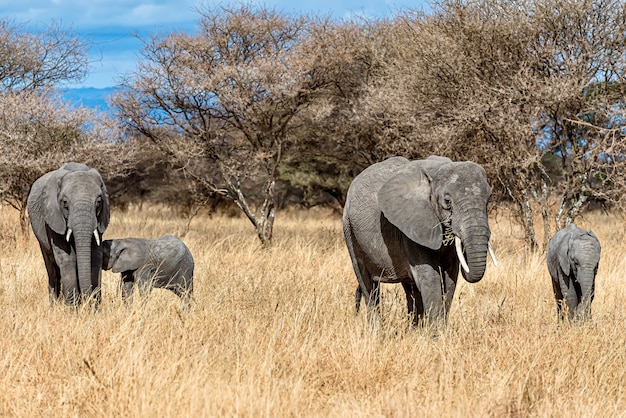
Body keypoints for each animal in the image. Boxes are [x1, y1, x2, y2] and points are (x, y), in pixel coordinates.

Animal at [27, 162, 109, 306]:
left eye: (99, 202)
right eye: (65, 203)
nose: (86, 302)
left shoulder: (100, 220)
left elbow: (95, 257)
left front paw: (94, 308)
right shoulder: (53, 217)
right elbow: (67, 258)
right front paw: (72, 308)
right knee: (52, 270)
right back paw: (54, 306)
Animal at [342, 155, 498, 328]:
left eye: (488, 200)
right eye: (447, 201)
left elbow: (450, 277)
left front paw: (438, 330)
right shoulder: (410, 227)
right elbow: (430, 276)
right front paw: (435, 333)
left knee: (410, 288)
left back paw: (413, 328)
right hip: (349, 228)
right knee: (367, 283)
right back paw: (376, 331)